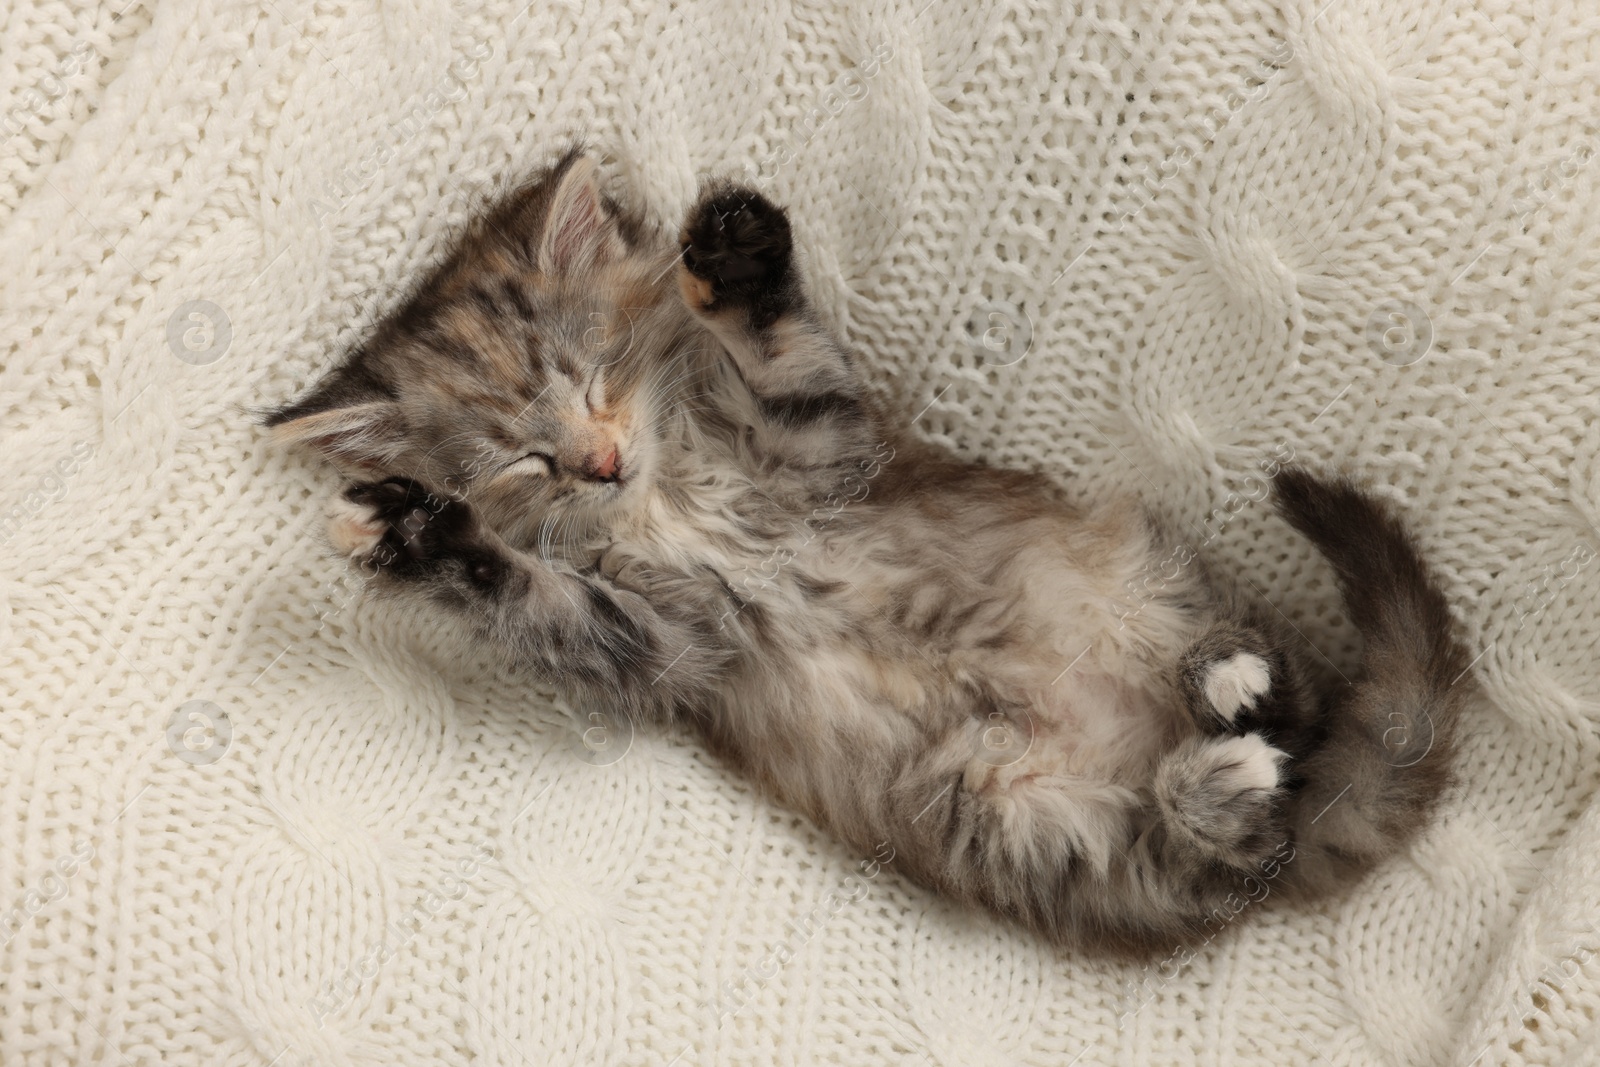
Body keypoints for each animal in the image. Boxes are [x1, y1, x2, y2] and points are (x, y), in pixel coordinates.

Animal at [265, 146, 1472, 953]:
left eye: (596, 374)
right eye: (522, 460)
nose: (599, 463)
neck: (669, 497)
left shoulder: (823, 452)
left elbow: (779, 354)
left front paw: (738, 258)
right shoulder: (662, 646)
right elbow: (533, 594)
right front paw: (413, 531)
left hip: (1148, 585)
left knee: (1293, 737)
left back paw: (1234, 686)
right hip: (1024, 824)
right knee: (1233, 828)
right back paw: (1224, 763)